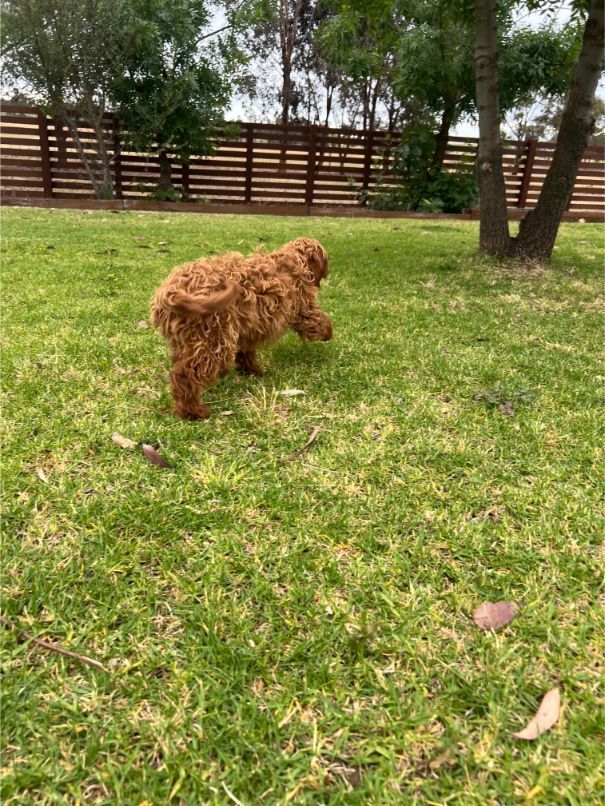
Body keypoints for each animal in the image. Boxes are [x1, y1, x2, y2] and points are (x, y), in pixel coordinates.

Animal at [150, 238, 333, 419]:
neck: (292, 261)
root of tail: (172, 289)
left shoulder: (250, 325)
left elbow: (246, 350)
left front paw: (251, 370)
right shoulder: (304, 309)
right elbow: (319, 322)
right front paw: (328, 334)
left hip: (186, 338)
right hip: (214, 338)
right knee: (186, 375)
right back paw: (193, 411)